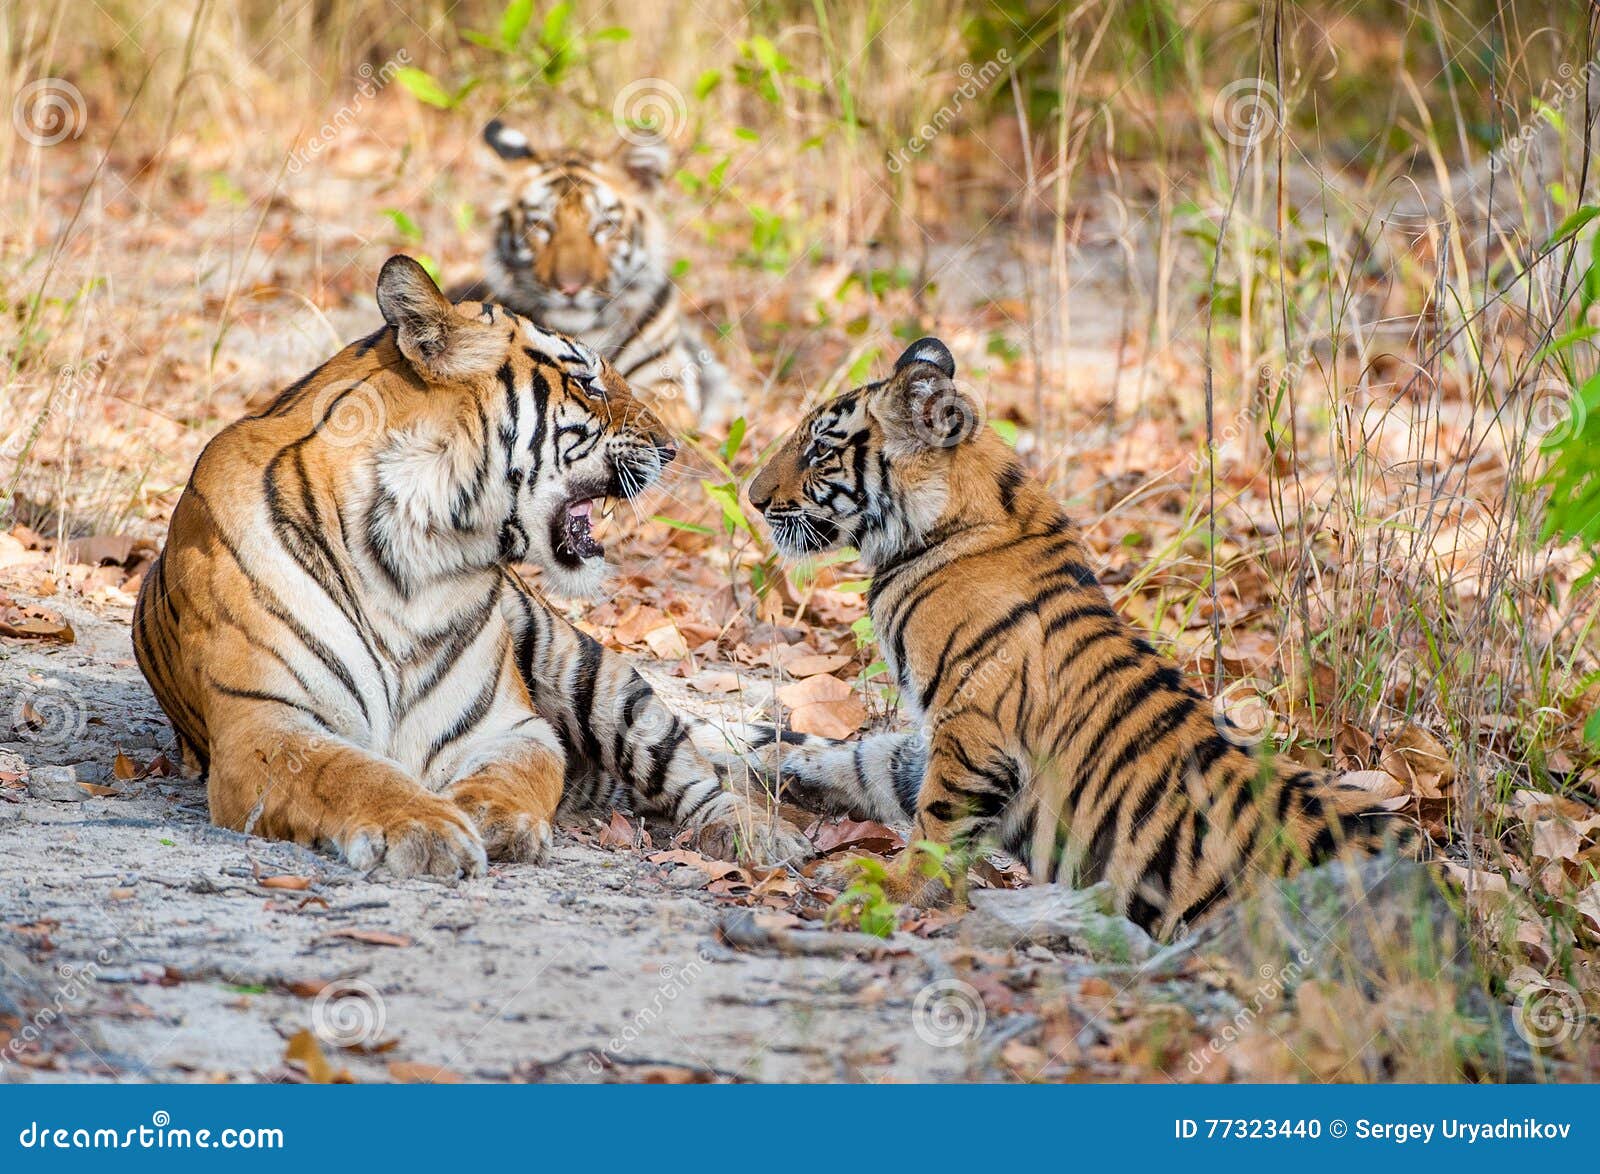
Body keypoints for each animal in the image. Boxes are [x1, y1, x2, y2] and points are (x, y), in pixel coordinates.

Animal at [136, 259, 806, 882]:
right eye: (586, 381)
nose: (672, 448)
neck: (412, 554)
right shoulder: (266, 724)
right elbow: (351, 772)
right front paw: (426, 828)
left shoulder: (509, 726)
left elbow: (517, 772)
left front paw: (494, 819)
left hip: (594, 673)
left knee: (698, 774)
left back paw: (764, 838)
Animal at [742, 337, 1420, 940]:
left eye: (820, 449)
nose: (752, 498)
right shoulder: (949, 733)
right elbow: (872, 757)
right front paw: (770, 752)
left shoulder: (975, 733)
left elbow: (932, 821)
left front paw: (882, 892)